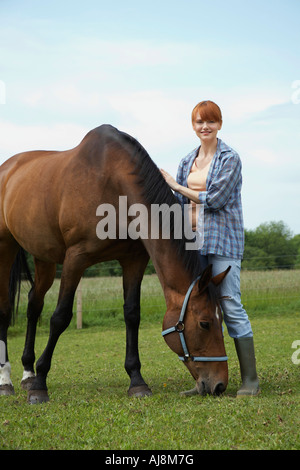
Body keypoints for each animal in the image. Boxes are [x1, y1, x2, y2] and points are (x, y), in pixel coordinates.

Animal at [0, 126, 230, 404]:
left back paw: (27, 374)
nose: (220, 384)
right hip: (6, 247)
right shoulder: (76, 258)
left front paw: (137, 381)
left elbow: (132, 314)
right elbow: (60, 317)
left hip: (43, 256)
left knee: (34, 305)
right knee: (4, 309)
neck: (111, 183)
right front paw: (40, 385)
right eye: (205, 323)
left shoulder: (133, 260)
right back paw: (7, 380)